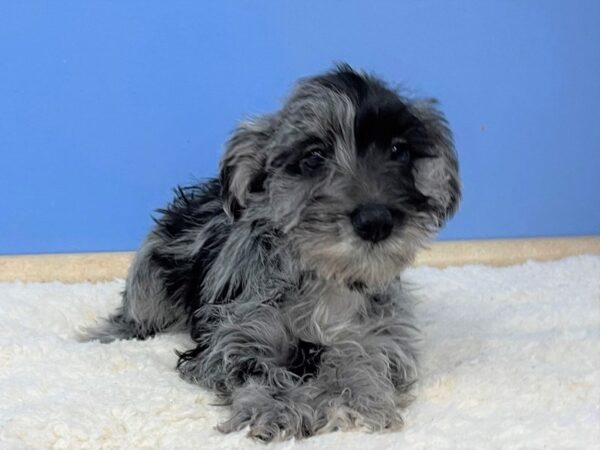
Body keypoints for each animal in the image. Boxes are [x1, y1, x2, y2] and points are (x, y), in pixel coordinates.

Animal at [83, 65, 460, 442]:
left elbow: (363, 359)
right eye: (313, 157)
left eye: (399, 151)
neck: (325, 279)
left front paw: (359, 398)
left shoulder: (379, 334)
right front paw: (277, 409)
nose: (376, 221)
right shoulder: (234, 337)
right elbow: (258, 370)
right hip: (150, 279)